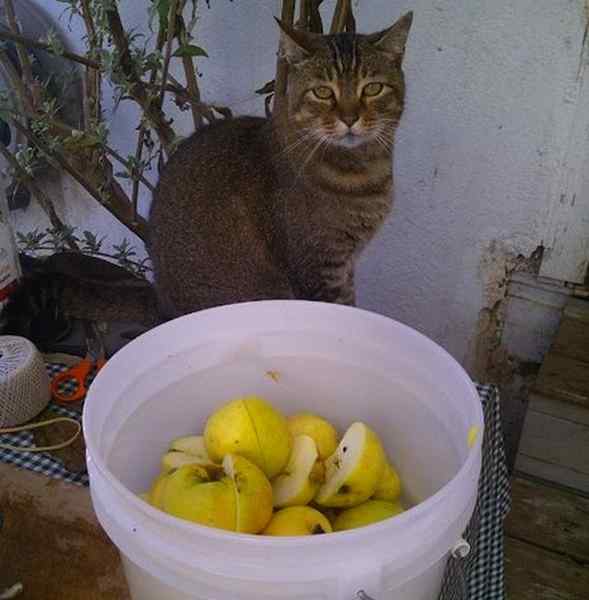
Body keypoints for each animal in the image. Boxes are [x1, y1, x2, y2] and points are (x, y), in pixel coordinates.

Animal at [147, 12, 414, 318]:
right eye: (323, 92)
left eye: (372, 88)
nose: (349, 118)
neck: (363, 171)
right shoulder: (317, 269)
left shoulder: (343, 267)